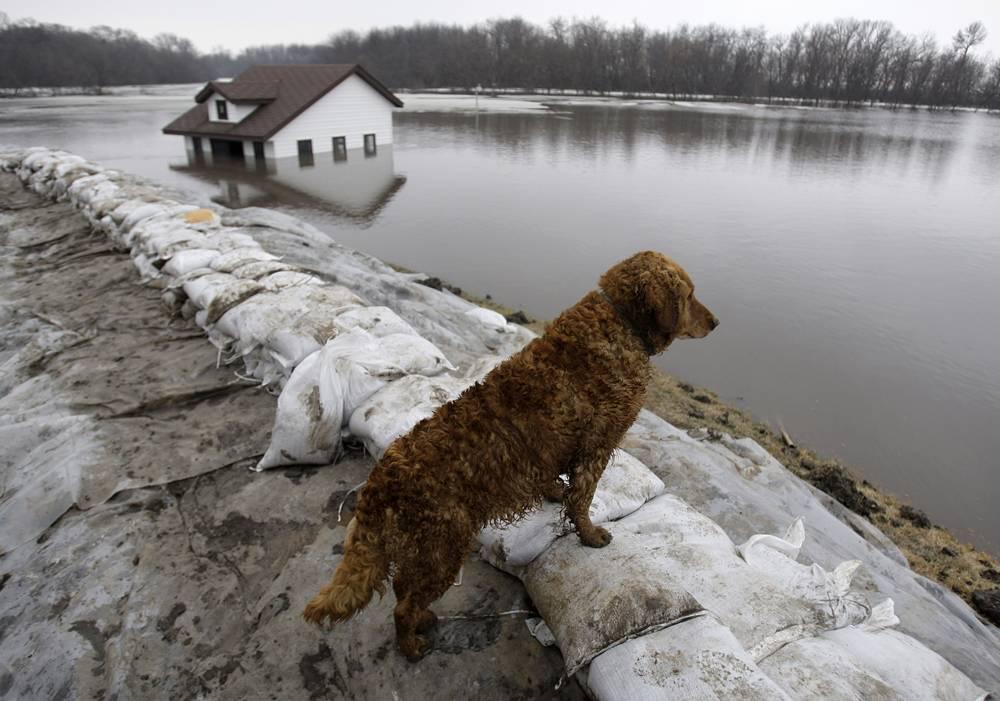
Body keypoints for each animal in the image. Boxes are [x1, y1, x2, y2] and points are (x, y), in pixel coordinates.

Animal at [300, 253, 716, 660]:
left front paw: (555, 493)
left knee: (404, 588)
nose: (715, 322)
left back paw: (424, 620)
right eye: (690, 295)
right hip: (443, 549)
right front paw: (590, 534)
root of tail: (379, 482)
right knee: (403, 605)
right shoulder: (598, 445)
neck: (620, 322)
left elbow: (557, 483)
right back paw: (412, 645)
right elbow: (582, 499)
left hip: (424, 550)